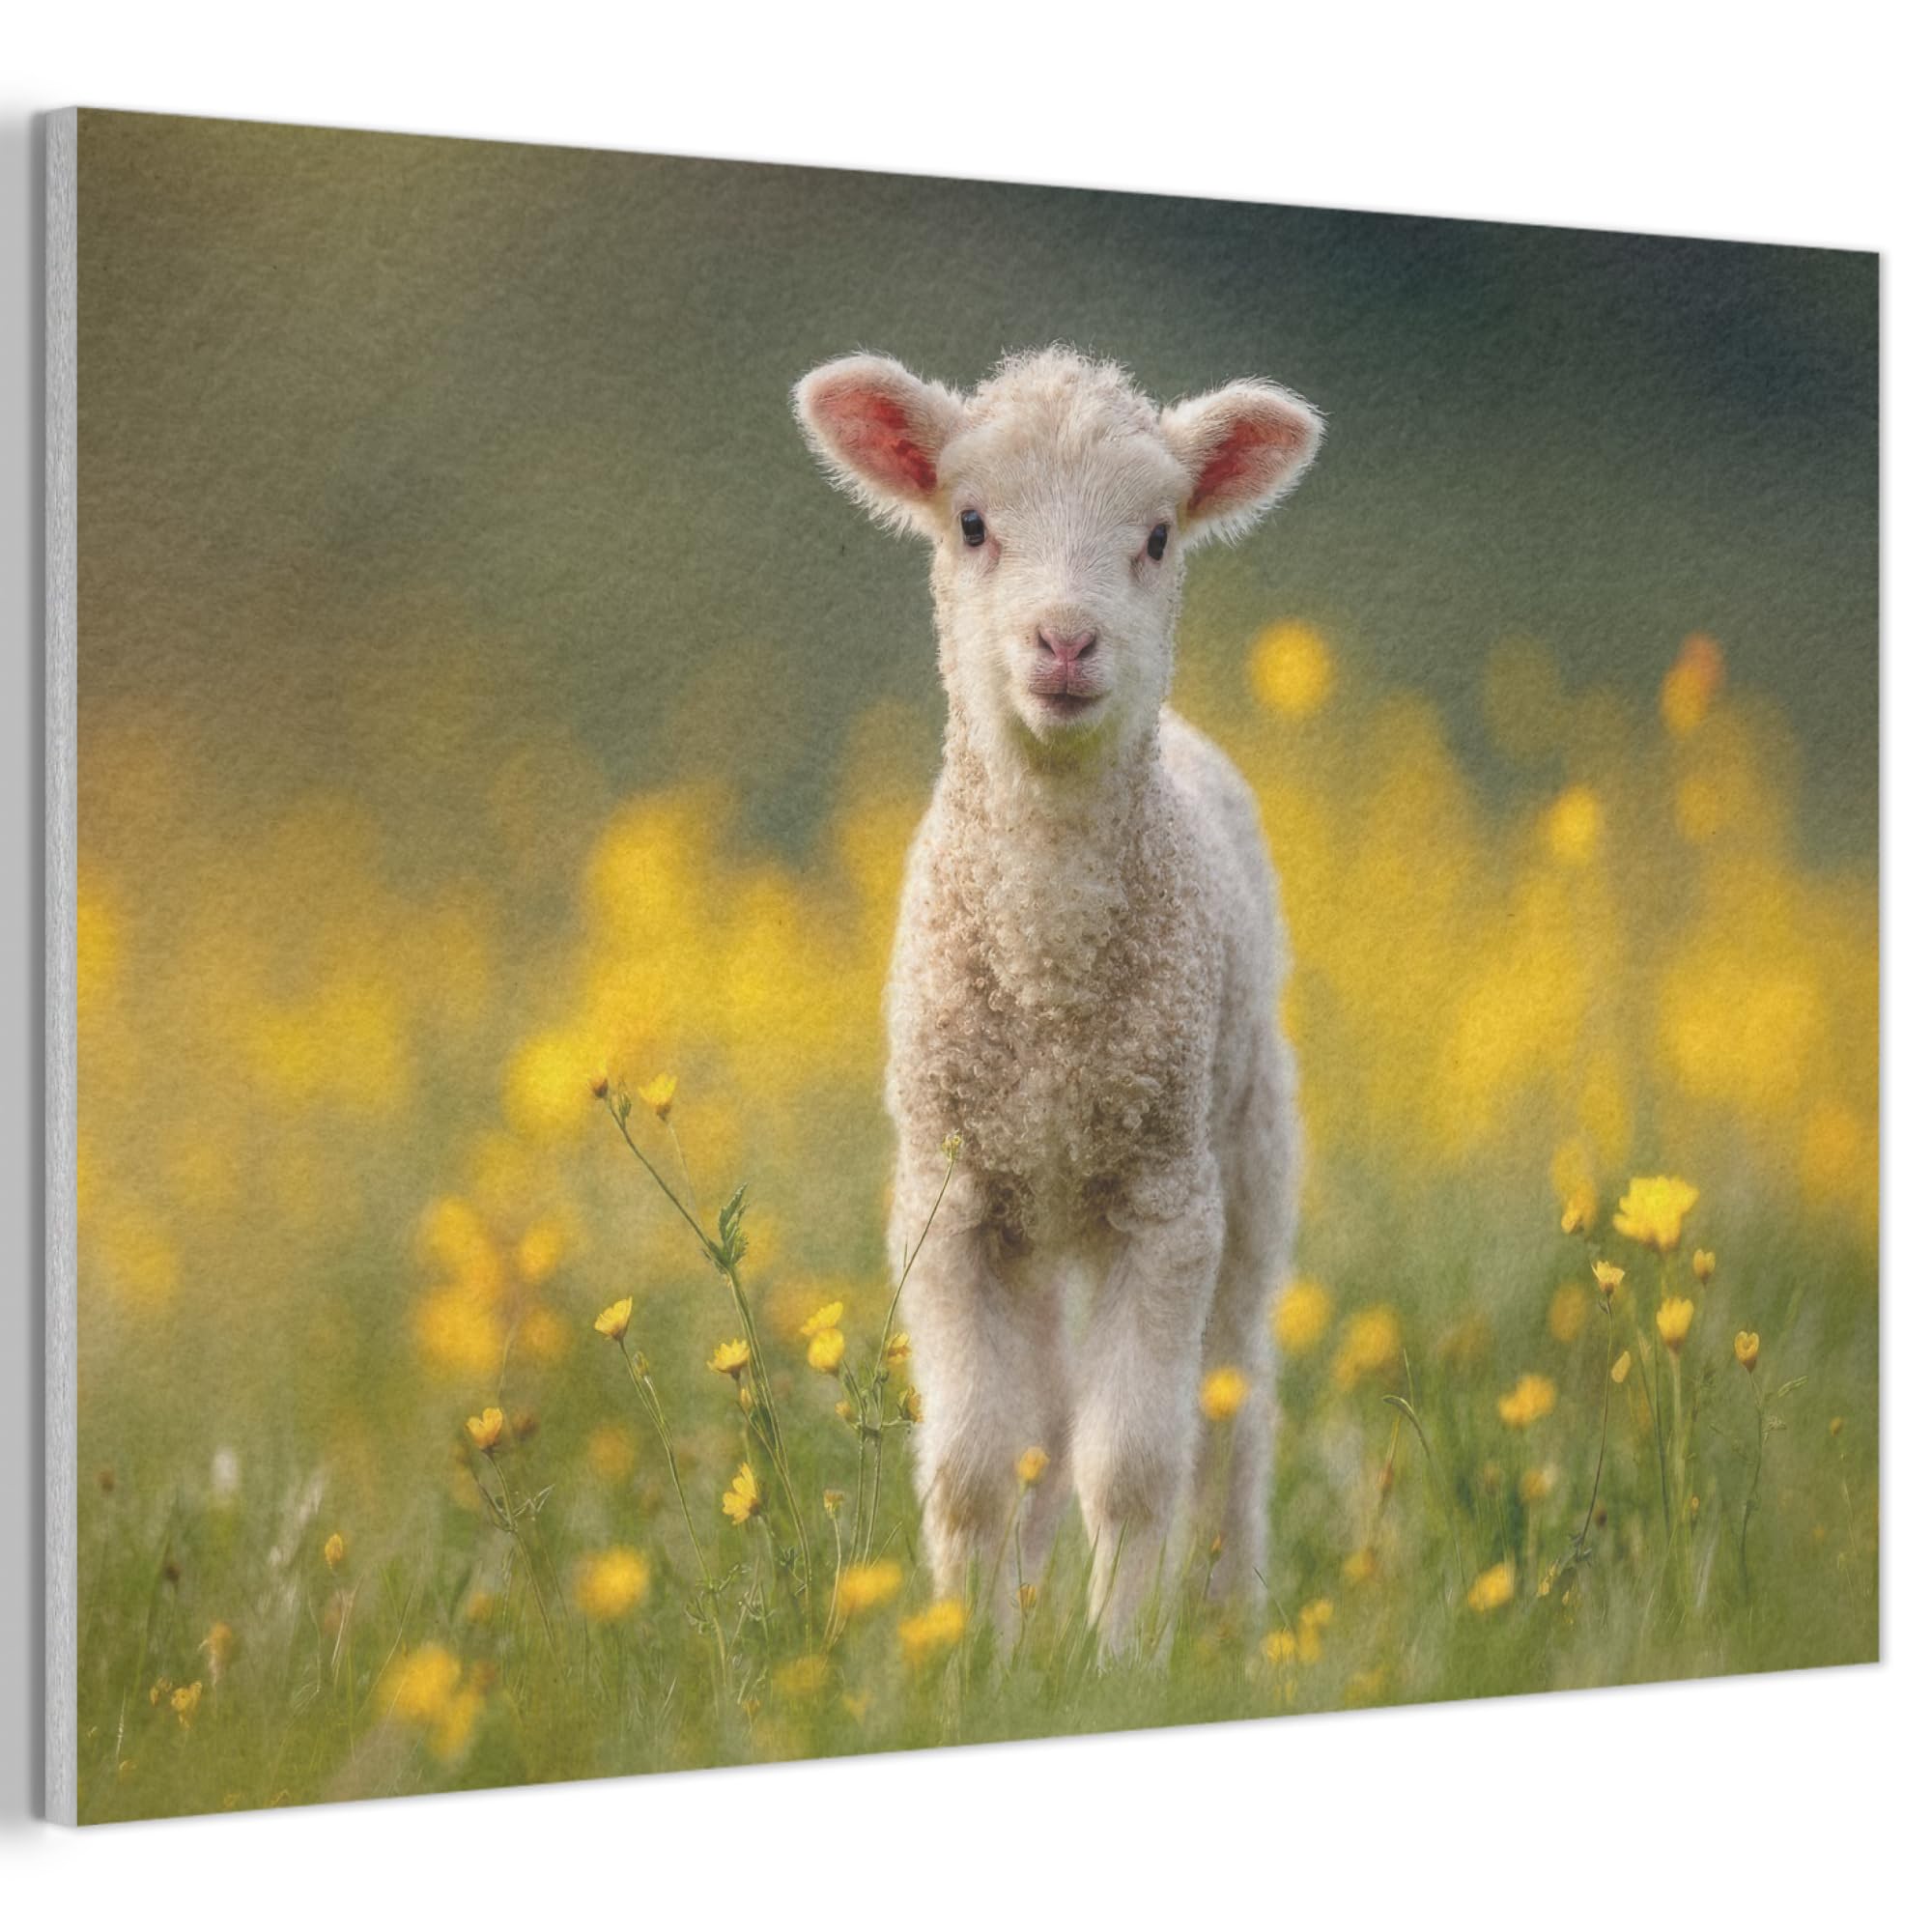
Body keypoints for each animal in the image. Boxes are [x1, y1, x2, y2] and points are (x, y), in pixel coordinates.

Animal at [794, 346, 1323, 1650]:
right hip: (1029, 1207)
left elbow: (1129, 1464)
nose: (1066, 640)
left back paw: (1225, 1624)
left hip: (1247, 1149)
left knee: (1230, 1414)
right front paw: (967, 1654)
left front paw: (1121, 1657)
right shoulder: (948, 1195)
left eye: (1158, 534)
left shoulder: (1164, 1196)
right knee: (1037, 1424)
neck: (1049, 989)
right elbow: (977, 1463)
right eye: (972, 523)